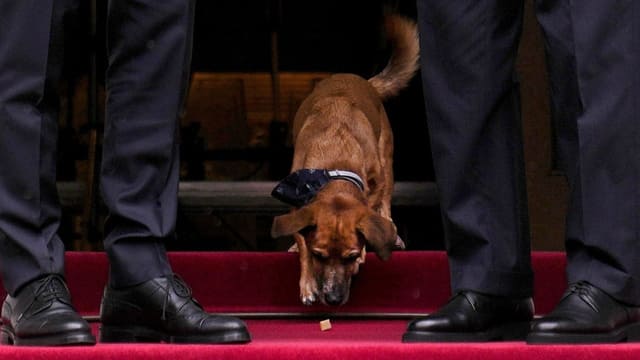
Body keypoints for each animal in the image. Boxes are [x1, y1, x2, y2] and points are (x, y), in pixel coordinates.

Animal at [270, 14, 420, 306]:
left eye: (349, 257)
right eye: (319, 255)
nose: (333, 297)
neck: (334, 167)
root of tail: (363, 80)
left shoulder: (375, 182)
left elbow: (370, 210)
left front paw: (364, 251)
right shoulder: (296, 197)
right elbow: (302, 236)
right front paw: (307, 281)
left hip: (387, 161)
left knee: (385, 204)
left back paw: (392, 232)